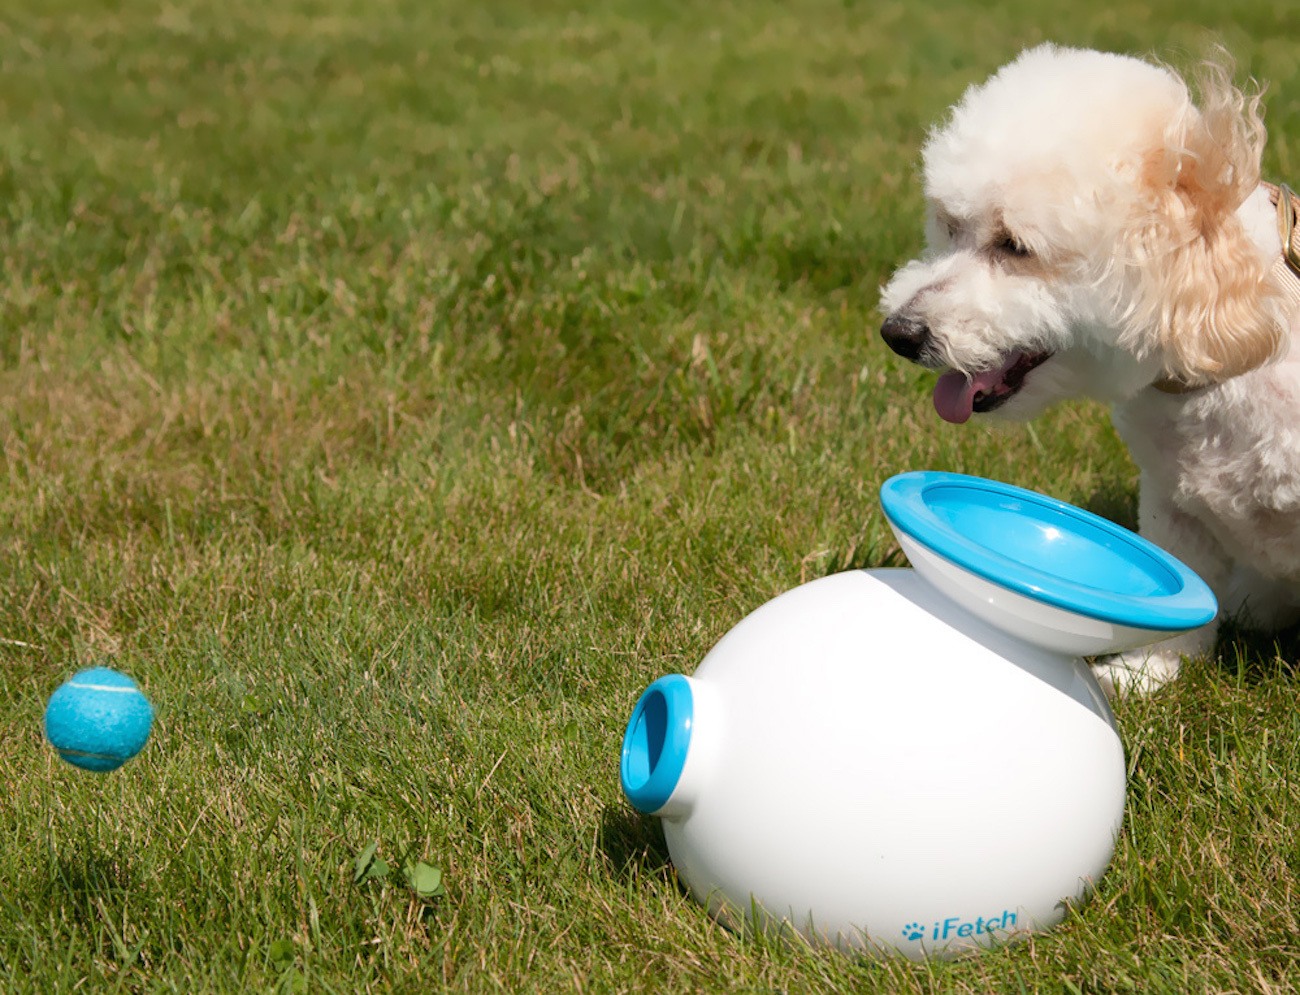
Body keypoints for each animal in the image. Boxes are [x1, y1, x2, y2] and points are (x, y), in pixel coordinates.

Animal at [873, 46, 1300, 697]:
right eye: (950, 225)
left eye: (1014, 246)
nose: (899, 333)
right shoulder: (1172, 499)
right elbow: (1184, 594)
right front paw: (1148, 674)